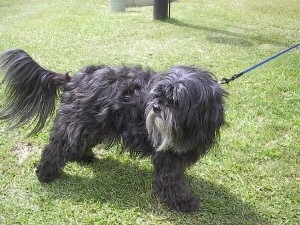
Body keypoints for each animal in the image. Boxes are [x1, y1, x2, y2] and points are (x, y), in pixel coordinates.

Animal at [0, 48, 226, 212]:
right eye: (158, 94)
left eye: (175, 101)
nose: (155, 107)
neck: (194, 124)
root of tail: (73, 79)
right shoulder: (168, 155)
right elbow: (171, 181)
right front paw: (183, 202)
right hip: (77, 122)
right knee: (56, 148)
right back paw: (45, 173)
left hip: (92, 125)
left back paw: (83, 156)